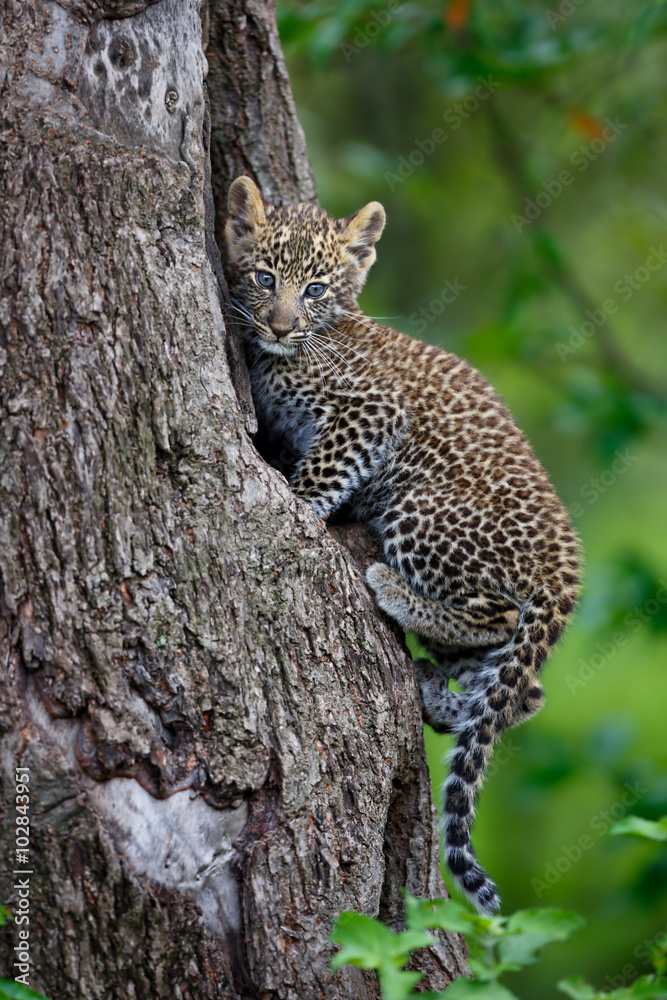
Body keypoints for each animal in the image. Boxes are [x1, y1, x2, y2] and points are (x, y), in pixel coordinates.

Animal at [224, 175, 581, 915]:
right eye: (266, 277)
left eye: (317, 290)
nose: (280, 325)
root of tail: (565, 566)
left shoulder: (369, 413)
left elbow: (317, 479)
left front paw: (298, 513)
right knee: (522, 691)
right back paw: (439, 698)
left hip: (423, 508)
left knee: (497, 620)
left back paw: (392, 590)